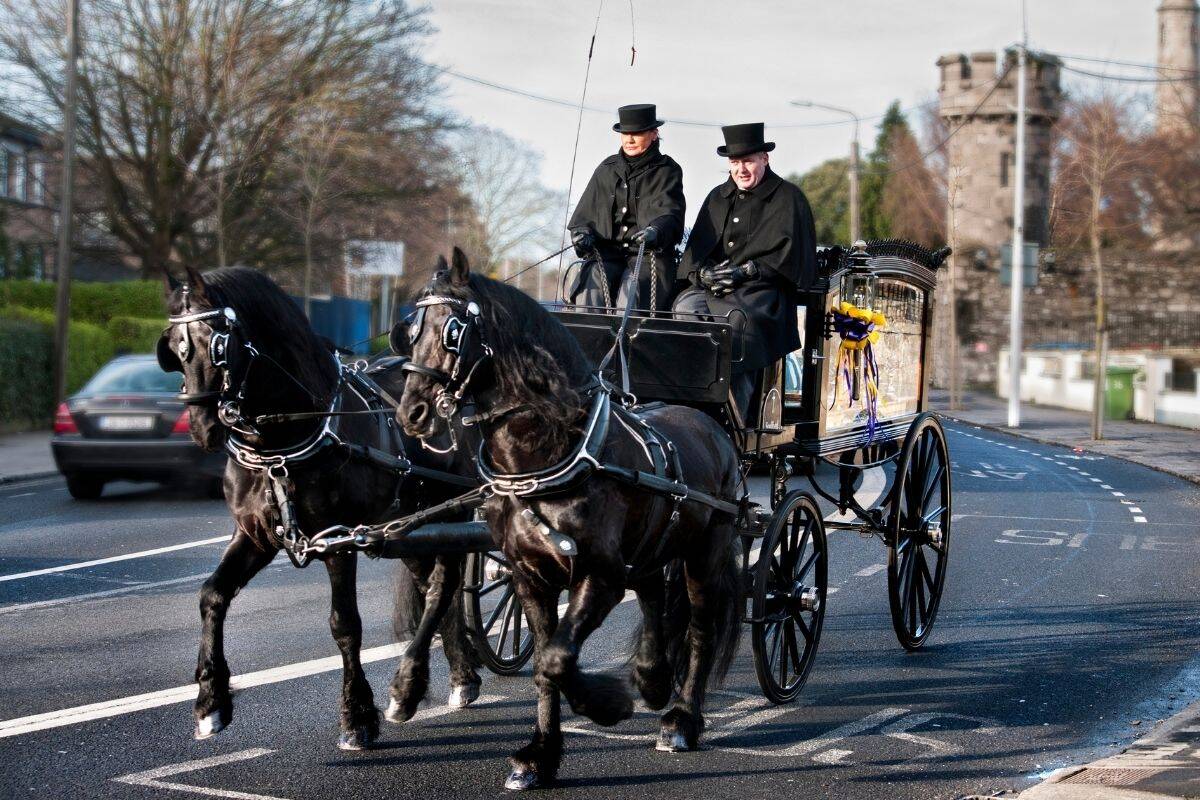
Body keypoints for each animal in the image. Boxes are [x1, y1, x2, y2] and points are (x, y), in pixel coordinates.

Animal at [157, 267, 480, 753]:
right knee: (435, 592)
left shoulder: (337, 539)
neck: (281, 447)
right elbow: (212, 595)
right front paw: (211, 703)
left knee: (443, 589)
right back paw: (458, 677)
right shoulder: (253, 536)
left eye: (219, 343)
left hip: (452, 513)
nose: (203, 427)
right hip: (411, 527)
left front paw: (357, 718)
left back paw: (410, 689)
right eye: (175, 345)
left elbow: (344, 623)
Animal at [398, 253, 744, 791]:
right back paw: (652, 677)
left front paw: (607, 706)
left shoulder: (599, 576)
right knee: (652, 594)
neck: (553, 451)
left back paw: (682, 720)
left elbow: (556, 659)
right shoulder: (529, 578)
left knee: (701, 627)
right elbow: (545, 665)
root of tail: (714, 427)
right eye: (410, 330)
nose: (410, 412)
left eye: (453, 330)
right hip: (651, 547)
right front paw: (540, 756)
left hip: (705, 555)